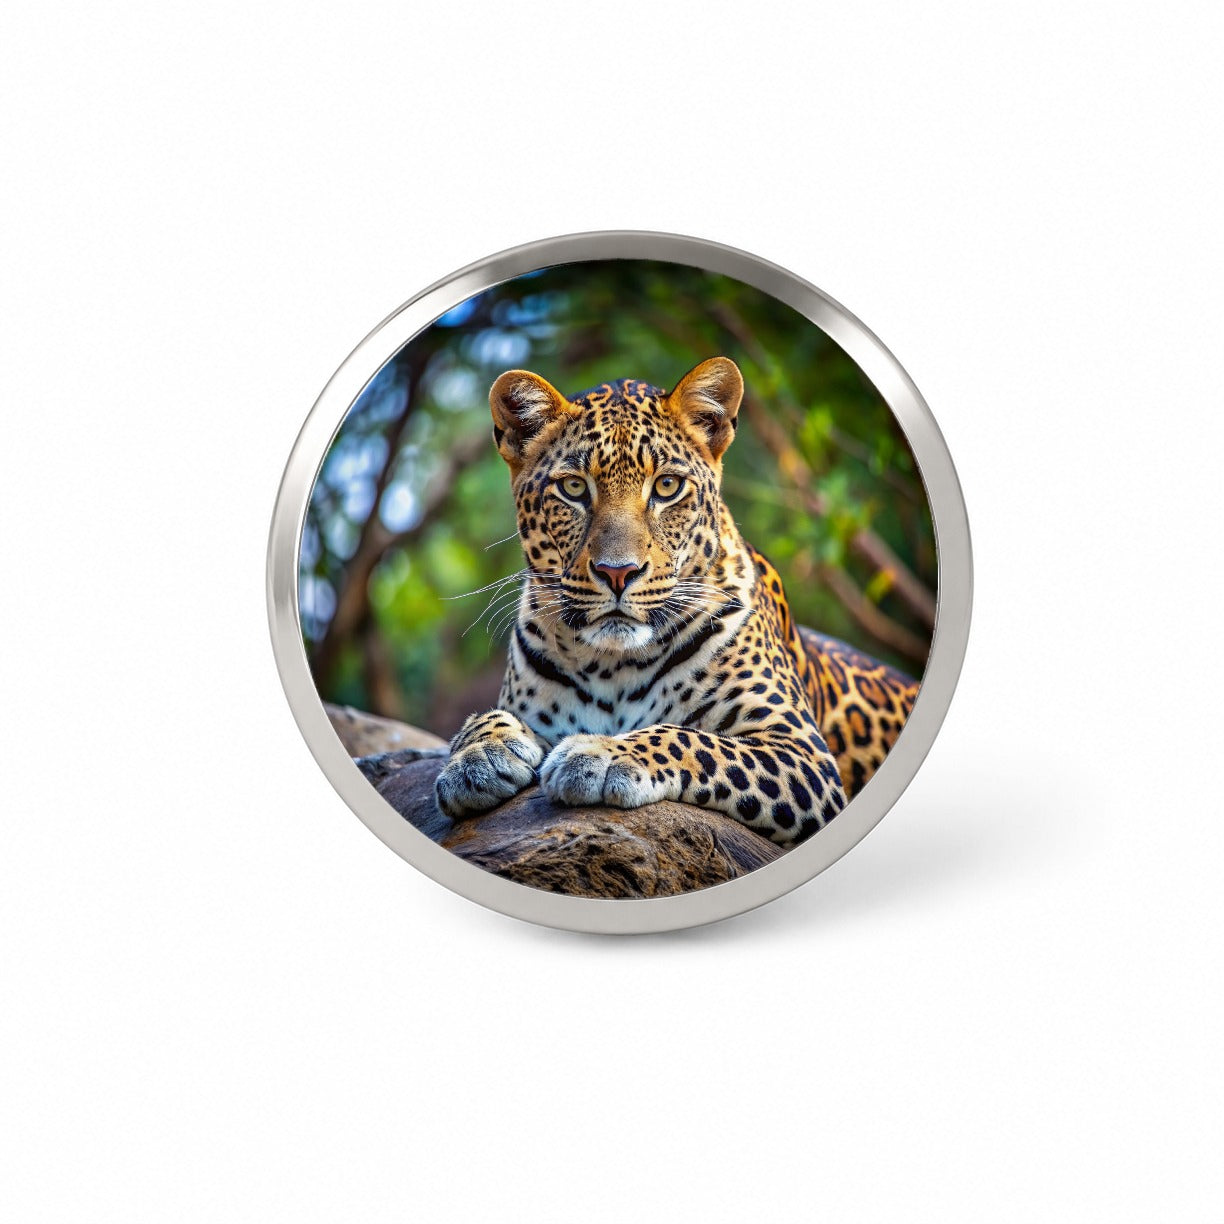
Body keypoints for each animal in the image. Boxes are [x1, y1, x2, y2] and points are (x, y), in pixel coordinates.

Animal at [434, 356, 920, 847]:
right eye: (572, 488)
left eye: (667, 486)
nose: (617, 572)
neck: (611, 664)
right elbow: (482, 718)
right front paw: (478, 756)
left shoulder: (801, 751)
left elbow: (692, 740)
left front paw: (603, 752)